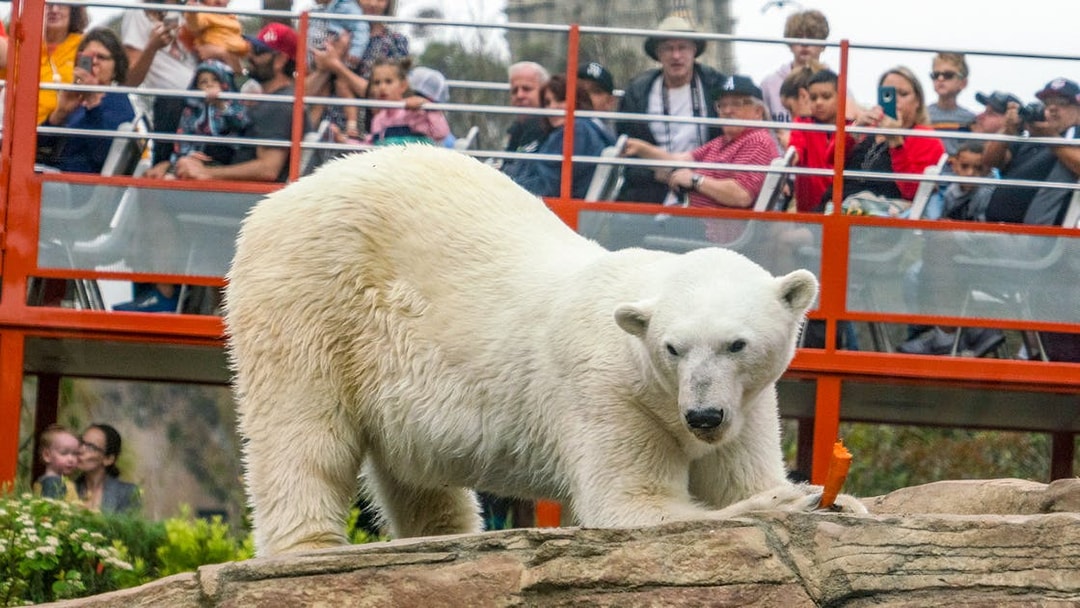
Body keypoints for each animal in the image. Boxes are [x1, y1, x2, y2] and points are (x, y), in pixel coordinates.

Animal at [225, 145, 865, 557]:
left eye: (737, 343)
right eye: (673, 347)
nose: (703, 416)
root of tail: (273, 203)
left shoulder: (750, 401)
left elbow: (738, 476)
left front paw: (842, 501)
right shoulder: (608, 392)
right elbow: (631, 505)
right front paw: (793, 501)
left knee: (418, 477)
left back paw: (447, 536)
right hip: (310, 299)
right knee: (303, 433)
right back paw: (309, 547)